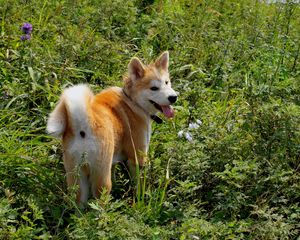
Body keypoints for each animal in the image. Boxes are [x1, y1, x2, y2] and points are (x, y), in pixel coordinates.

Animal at [47, 51, 178, 203]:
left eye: (167, 82)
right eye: (154, 88)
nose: (174, 97)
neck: (131, 101)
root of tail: (82, 124)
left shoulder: (114, 160)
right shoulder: (137, 159)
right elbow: (138, 183)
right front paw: (141, 198)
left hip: (77, 176)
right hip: (101, 177)